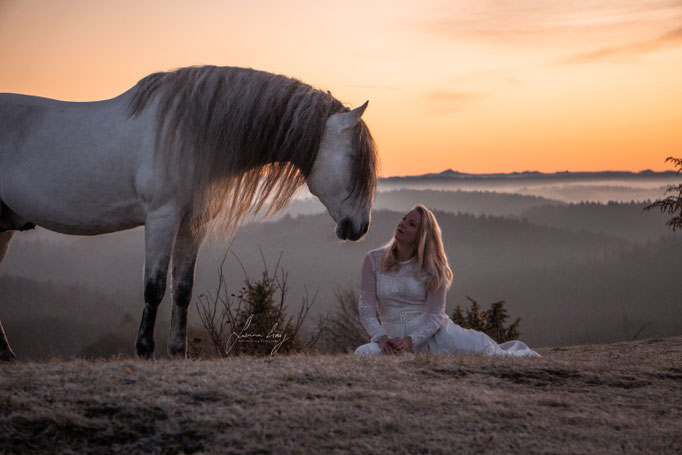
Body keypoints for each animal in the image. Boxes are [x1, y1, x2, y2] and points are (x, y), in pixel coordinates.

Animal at [0, 66, 378, 362]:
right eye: (354, 159)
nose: (360, 227)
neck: (188, 135)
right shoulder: (161, 218)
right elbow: (153, 286)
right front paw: (144, 350)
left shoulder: (191, 224)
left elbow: (183, 288)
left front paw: (177, 351)